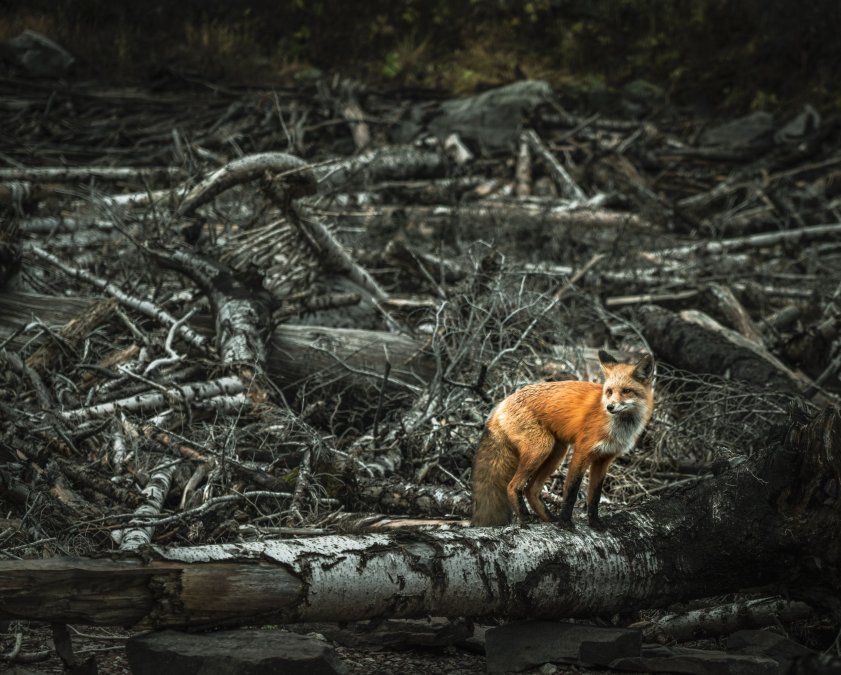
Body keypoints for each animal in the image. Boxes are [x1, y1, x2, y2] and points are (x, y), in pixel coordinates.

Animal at [471, 350, 654, 528]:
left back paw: (548, 517)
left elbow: (594, 496)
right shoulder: (582, 451)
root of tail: (501, 404)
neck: (617, 426)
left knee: (531, 489)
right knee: (512, 486)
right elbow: (571, 490)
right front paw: (565, 522)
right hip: (541, 448)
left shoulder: (604, 459)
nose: (610, 407)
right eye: (609, 391)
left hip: (557, 453)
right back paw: (525, 519)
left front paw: (595, 523)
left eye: (626, 391)